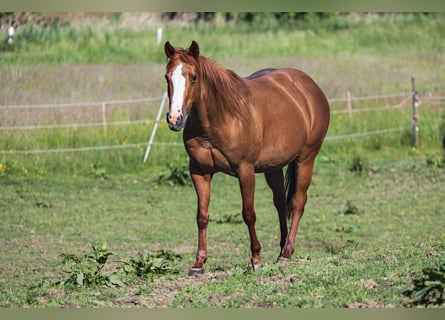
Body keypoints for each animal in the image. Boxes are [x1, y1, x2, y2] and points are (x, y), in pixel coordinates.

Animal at [163, 40, 330, 276]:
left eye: (193, 77)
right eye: (167, 77)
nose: (175, 119)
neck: (220, 118)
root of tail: (310, 86)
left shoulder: (245, 171)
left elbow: (249, 214)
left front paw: (256, 260)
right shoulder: (199, 172)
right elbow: (202, 216)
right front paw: (198, 263)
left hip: (306, 159)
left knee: (298, 203)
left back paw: (287, 253)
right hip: (273, 167)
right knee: (280, 203)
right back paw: (281, 248)